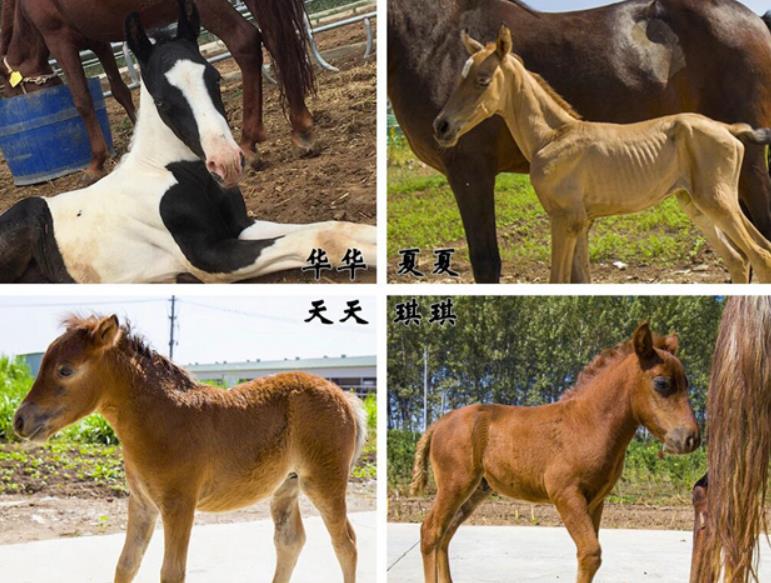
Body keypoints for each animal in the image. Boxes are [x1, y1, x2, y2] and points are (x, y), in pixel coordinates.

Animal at [0, 0, 315, 180]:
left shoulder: (59, 37)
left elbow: (82, 101)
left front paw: (95, 163)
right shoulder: (98, 41)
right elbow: (119, 90)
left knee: (245, 41)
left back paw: (250, 141)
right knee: (277, 40)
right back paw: (300, 126)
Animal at [13, 314, 367, 583]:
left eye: (65, 370)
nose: (19, 420)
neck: (162, 417)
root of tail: (346, 397)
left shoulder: (179, 503)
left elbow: (171, 572)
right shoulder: (142, 503)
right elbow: (126, 564)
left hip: (324, 482)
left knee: (346, 543)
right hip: (285, 487)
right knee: (290, 541)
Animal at [388, 0, 771, 283]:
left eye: (482, 79)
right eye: (460, 76)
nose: (442, 126)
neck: (553, 137)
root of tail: (730, 129)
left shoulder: (536, 206)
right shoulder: (580, 223)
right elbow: (579, 278)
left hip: (722, 197)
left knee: (761, 254)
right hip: (695, 203)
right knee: (740, 259)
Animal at [411, 322, 700, 583]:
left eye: (687, 383)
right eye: (662, 383)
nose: (691, 438)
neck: (587, 423)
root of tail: (439, 422)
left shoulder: (596, 500)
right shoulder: (566, 494)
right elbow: (590, 554)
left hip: (477, 489)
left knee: (446, 533)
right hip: (455, 484)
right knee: (431, 530)